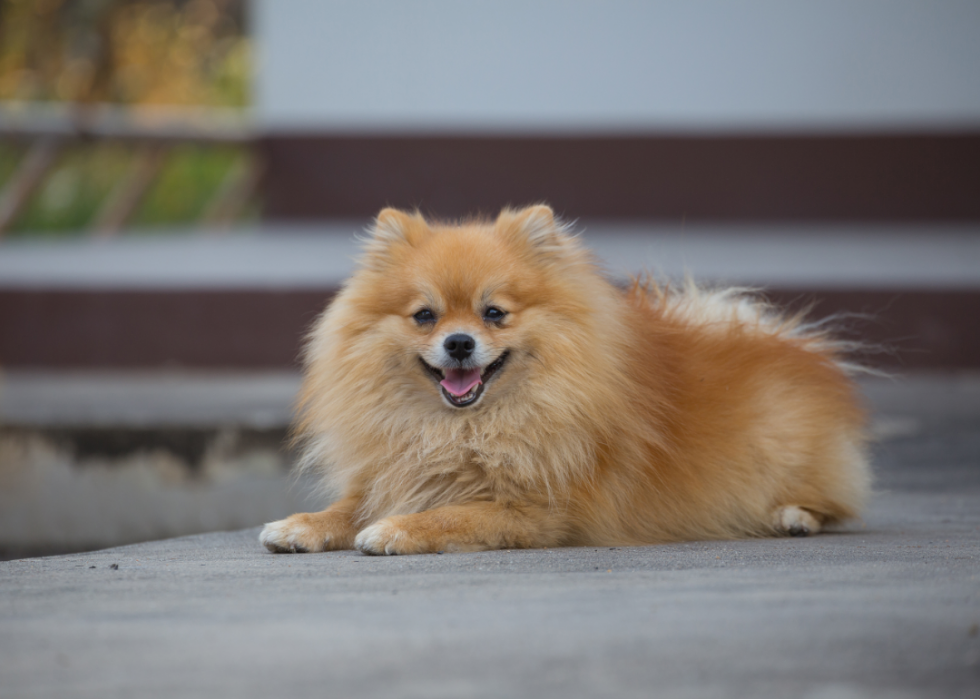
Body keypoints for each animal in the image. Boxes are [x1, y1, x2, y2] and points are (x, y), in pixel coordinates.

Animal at [260, 205, 872, 556]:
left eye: (494, 313)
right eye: (425, 316)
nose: (458, 343)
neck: (462, 428)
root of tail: (776, 338)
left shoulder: (535, 511)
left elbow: (451, 514)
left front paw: (396, 530)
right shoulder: (394, 471)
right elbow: (347, 507)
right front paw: (299, 525)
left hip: (778, 452)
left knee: (832, 502)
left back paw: (793, 516)